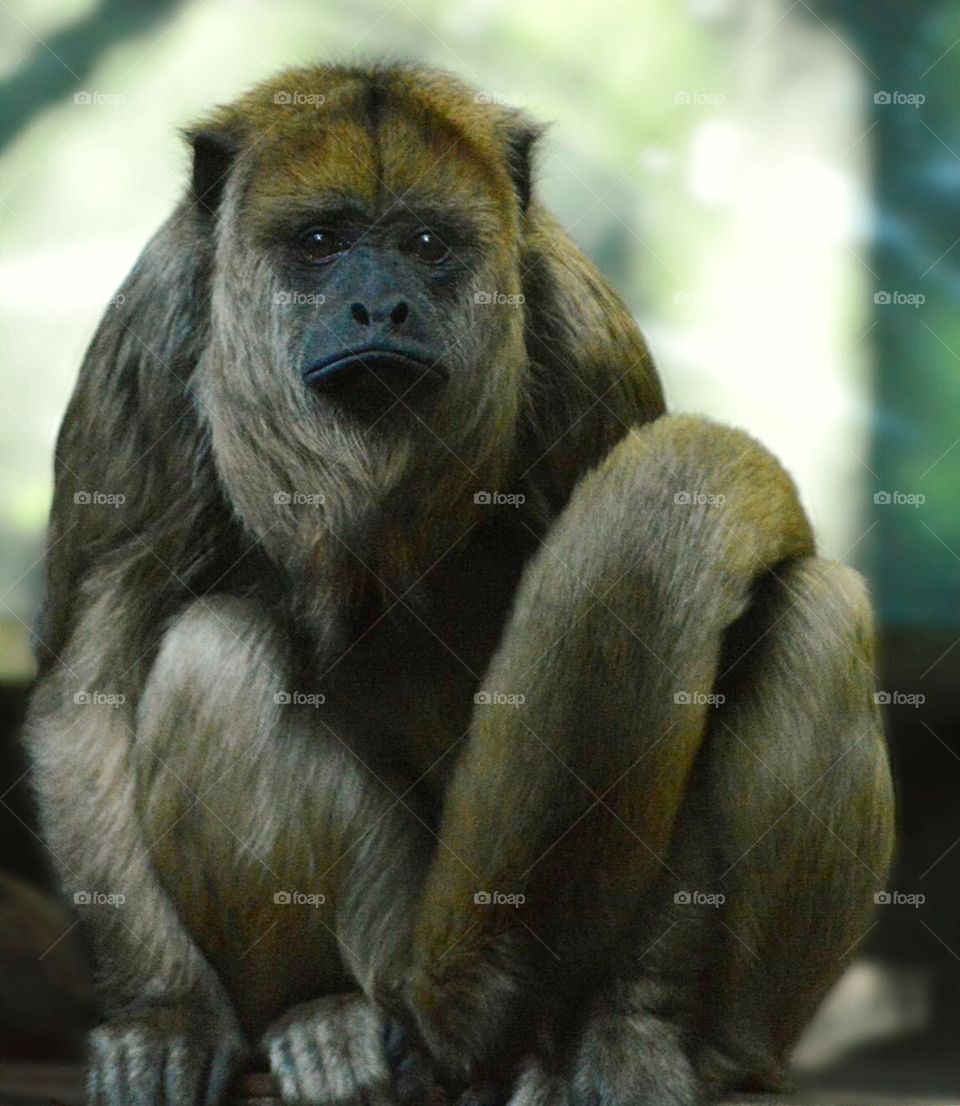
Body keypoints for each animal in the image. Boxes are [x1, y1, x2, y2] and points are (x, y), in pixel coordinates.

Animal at [22, 61, 894, 1106]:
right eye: (321, 242)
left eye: (427, 245)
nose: (381, 310)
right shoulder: (149, 336)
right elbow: (90, 686)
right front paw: (168, 1017)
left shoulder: (585, 337)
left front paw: (631, 1027)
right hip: (389, 944)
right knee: (213, 657)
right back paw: (318, 1015)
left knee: (812, 616)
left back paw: (686, 1052)